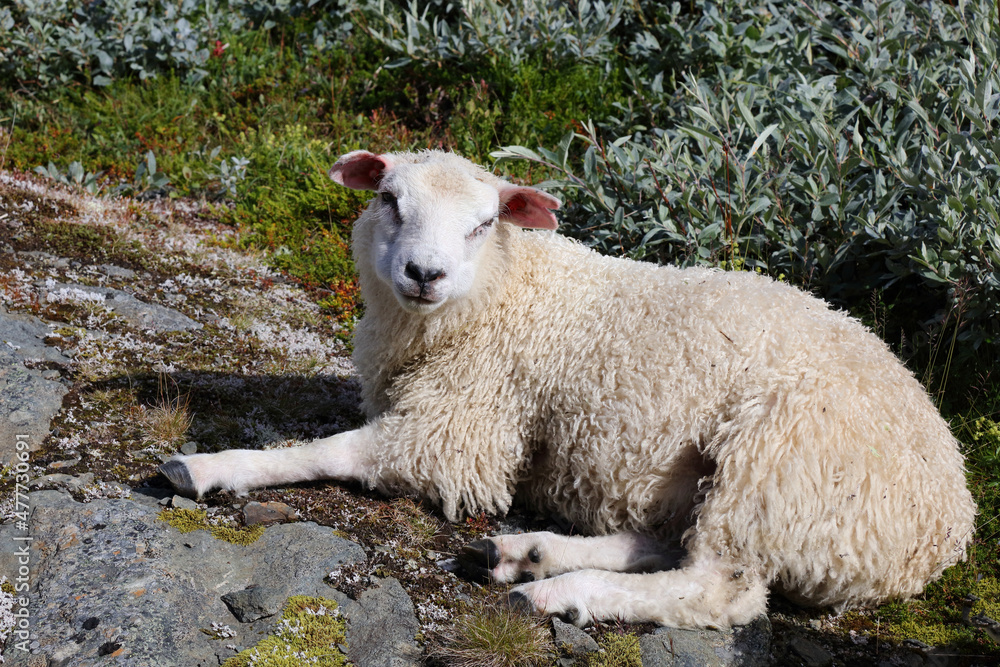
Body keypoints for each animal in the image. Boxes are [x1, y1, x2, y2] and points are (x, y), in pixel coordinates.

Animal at [161, 149, 976, 629]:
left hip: (776, 461)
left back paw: (558, 591)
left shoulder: (461, 431)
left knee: (721, 589)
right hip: (718, 478)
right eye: (389, 199)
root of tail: (949, 522)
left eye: (484, 223)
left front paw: (211, 466)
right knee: (666, 542)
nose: (424, 273)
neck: (506, 293)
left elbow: (327, 449)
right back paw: (529, 553)